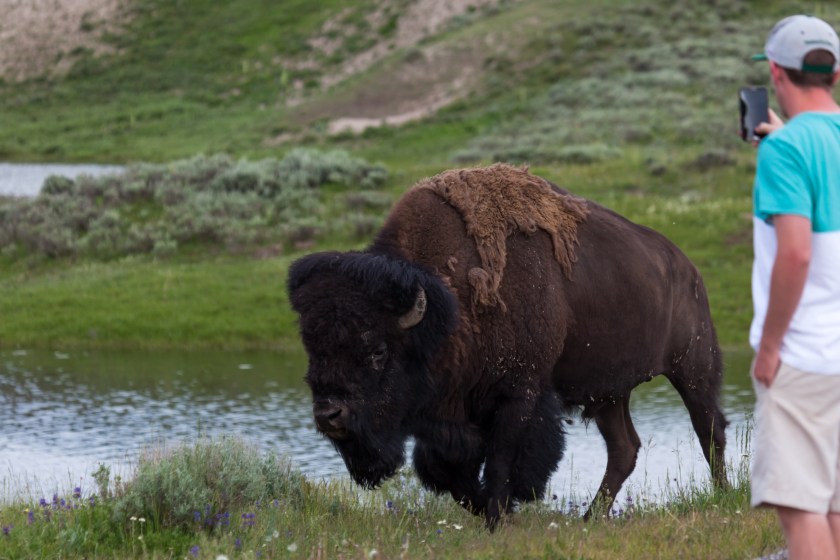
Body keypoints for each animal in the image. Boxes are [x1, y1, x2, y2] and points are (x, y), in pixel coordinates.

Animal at [287, 164, 727, 529]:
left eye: (378, 351)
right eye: (313, 349)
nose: (329, 414)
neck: (447, 307)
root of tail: (687, 269)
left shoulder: (519, 395)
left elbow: (501, 462)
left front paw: (497, 519)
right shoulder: (448, 416)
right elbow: (447, 472)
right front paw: (491, 510)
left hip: (693, 367)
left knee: (710, 429)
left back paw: (723, 498)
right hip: (608, 394)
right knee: (625, 448)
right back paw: (590, 517)